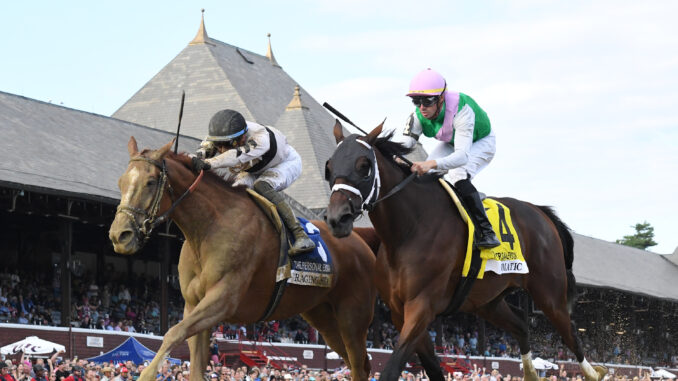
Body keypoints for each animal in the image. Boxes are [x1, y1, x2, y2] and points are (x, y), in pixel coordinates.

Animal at [109, 138, 380, 380]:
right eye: (121, 182)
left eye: (150, 182)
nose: (119, 235)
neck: (209, 227)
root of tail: (360, 239)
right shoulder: (193, 305)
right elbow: (193, 361)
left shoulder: (223, 299)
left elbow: (173, 333)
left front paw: (146, 374)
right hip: (323, 317)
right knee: (354, 362)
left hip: (352, 317)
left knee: (360, 365)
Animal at [326, 121, 608, 380]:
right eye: (329, 167)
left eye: (364, 165)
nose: (337, 219)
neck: (409, 229)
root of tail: (541, 212)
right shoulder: (399, 312)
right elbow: (433, 368)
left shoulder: (422, 306)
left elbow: (392, 368)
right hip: (487, 301)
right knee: (521, 326)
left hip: (549, 294)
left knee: (571, 333)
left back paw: (594, 372)